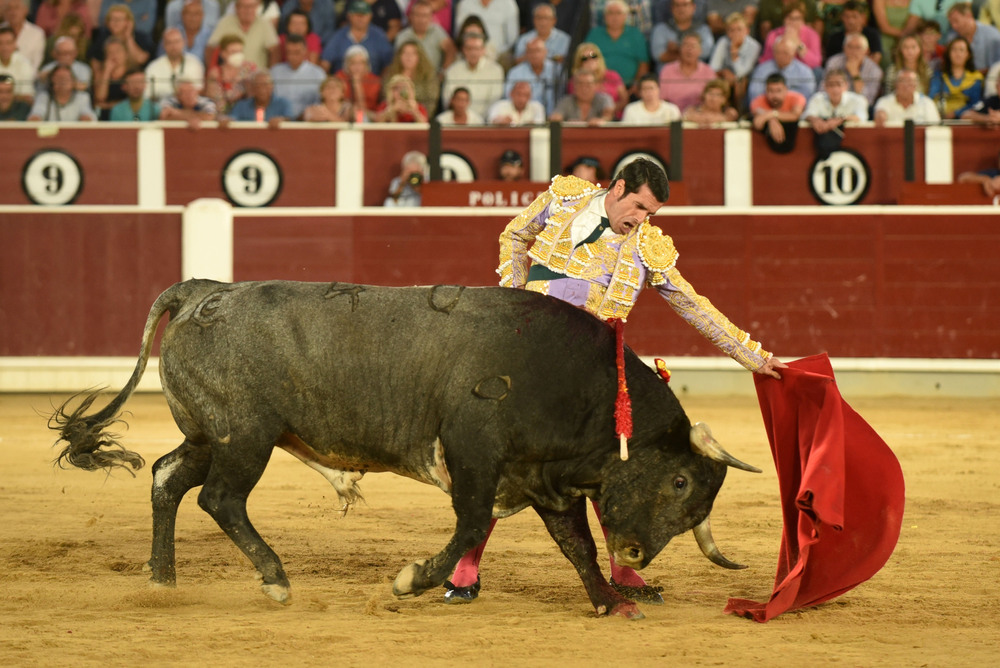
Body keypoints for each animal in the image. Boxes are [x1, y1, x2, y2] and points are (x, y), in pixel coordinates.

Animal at [48, 280, 756, 620]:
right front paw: (411, 579)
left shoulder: (544, 479)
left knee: (168, 477)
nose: (634, 554)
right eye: (680, 483)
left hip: (210, 436)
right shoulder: (474, 454)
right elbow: (470, 525)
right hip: (245, 437)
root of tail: (202, 291)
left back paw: (161, 580)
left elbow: (575, 545)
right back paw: (274, 580)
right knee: (220, 499)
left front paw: (613, 601)